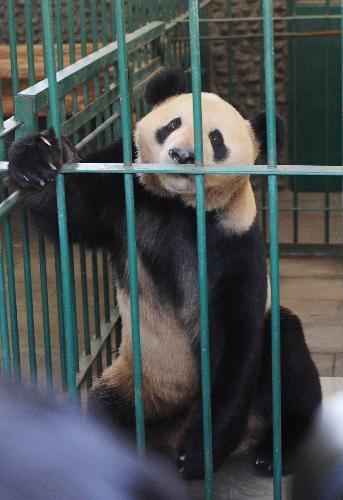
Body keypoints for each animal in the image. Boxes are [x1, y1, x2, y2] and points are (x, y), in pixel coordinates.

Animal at [6, 67, 322, 480]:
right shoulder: (122, 190)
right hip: (136, 384)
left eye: (216, 139)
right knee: (106, 410)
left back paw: (274, 452)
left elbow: (237, 334)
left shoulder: (235, 239)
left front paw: (201, 451)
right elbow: (72, 208)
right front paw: (37, 159)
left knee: (286, 349)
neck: (179, 205)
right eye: (173, 124)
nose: (182, 155)